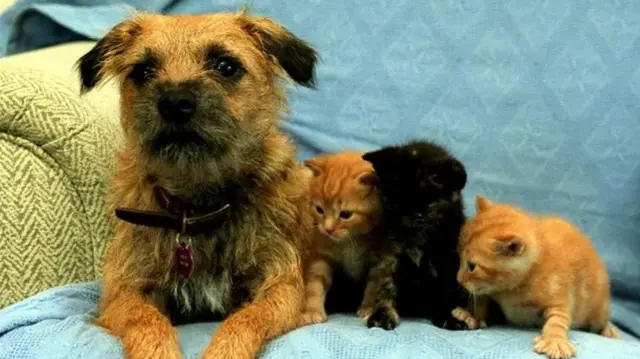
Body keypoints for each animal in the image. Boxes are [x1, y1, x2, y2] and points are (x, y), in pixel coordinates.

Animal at [77, 10, 318, 359]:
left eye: (226, 66)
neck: (198, 206)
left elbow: (247, 319)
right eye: (143, 70)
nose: (175, 103)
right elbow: (145, 320)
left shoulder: (282, 285)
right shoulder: (122, 293)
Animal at [298, 152, 382, 326]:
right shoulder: (321, 255)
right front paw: (313, 310)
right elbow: (315, 283)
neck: (349, 241)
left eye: (345, 214)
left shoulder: (379, 259)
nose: (328, 229)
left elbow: (374, 285)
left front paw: (368, 308)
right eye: (319, 210)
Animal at [360, 141, 470, 332]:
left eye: (426, 203)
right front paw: (382, 314)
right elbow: (385, 286)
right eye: (393, 202)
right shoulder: (389, 256)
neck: (417, 237)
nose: (408, 216)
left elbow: (446, 292)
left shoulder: (447, 262)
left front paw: (447, 317)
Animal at [458, 197, 616, 359]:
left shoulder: (558, 290)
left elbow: (558, 319)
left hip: (599, 311)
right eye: (459, 255)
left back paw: (608, 330)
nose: (459, 280)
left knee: (599, 323)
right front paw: (471, 315)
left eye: (471, 266)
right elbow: (481, 301)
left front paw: (555, 340)